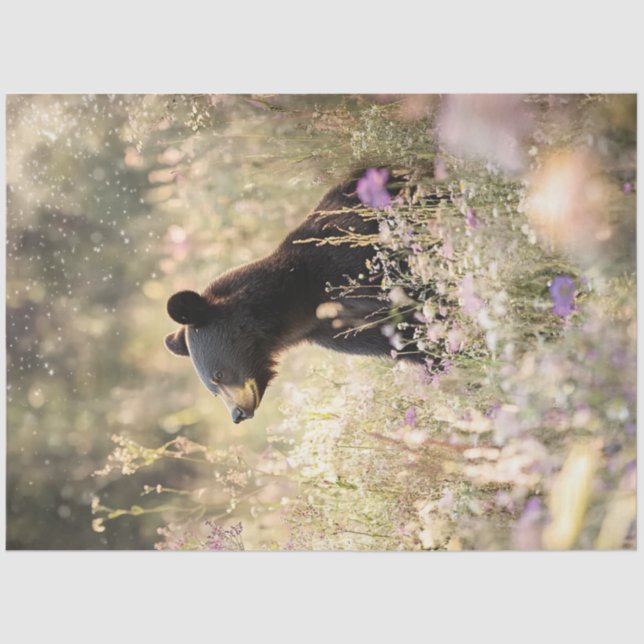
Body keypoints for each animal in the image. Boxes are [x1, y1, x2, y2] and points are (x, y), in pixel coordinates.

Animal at [165, 169, 425, 423]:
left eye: (218, 375)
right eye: (213, 390)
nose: (237, 414)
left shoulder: (345, 259)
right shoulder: (336, 331)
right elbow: (399, 340)